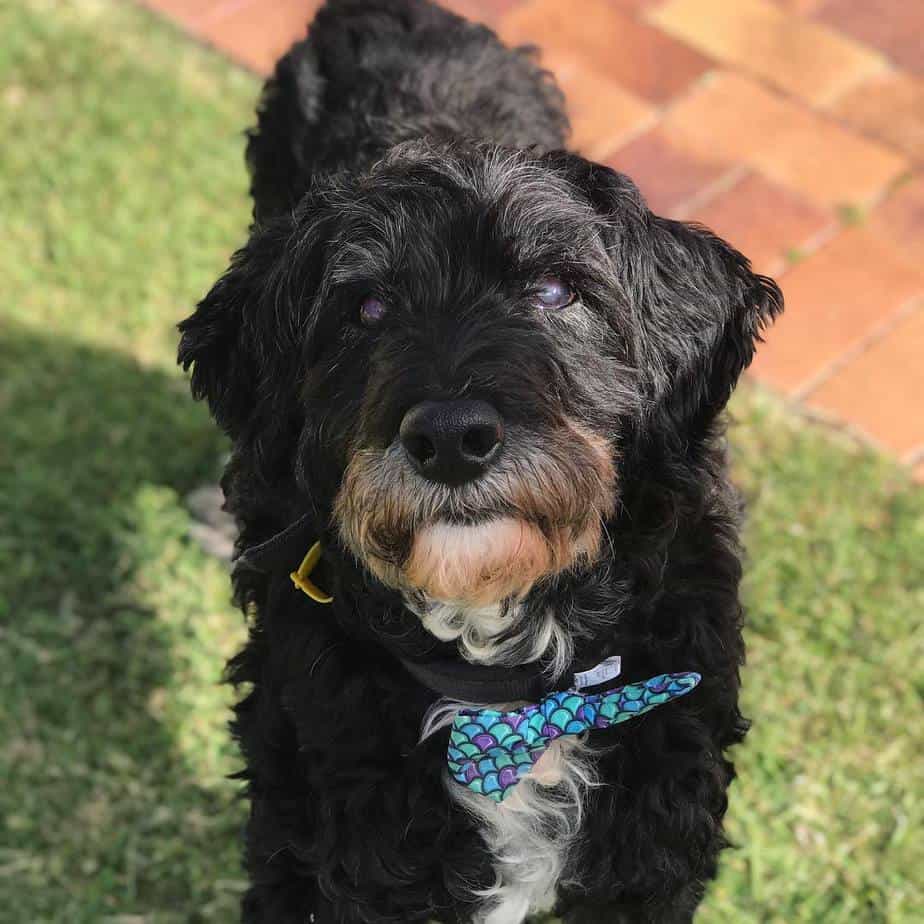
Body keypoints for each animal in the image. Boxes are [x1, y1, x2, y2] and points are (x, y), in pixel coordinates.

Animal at [177, 1, 784, 924]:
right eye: (366, 307)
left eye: (556, 290)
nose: (452, 438)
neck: (507, 687)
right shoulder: (321, 854)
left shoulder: (648, 862)